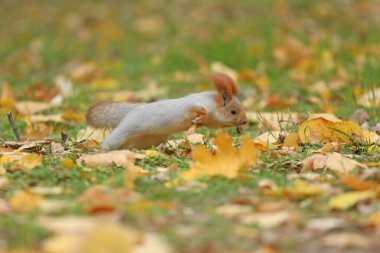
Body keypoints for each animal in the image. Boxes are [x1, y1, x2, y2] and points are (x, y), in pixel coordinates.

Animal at [84, 71, 248, 150]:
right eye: (233, 111)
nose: (245, 121)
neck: (214, 104)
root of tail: (133, 109)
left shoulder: (213, 122)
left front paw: (239, 128)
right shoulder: (191, 105)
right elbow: (195, 110)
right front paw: (199, 117)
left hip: (152, 138)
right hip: (126, 129)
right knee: (111, 141)